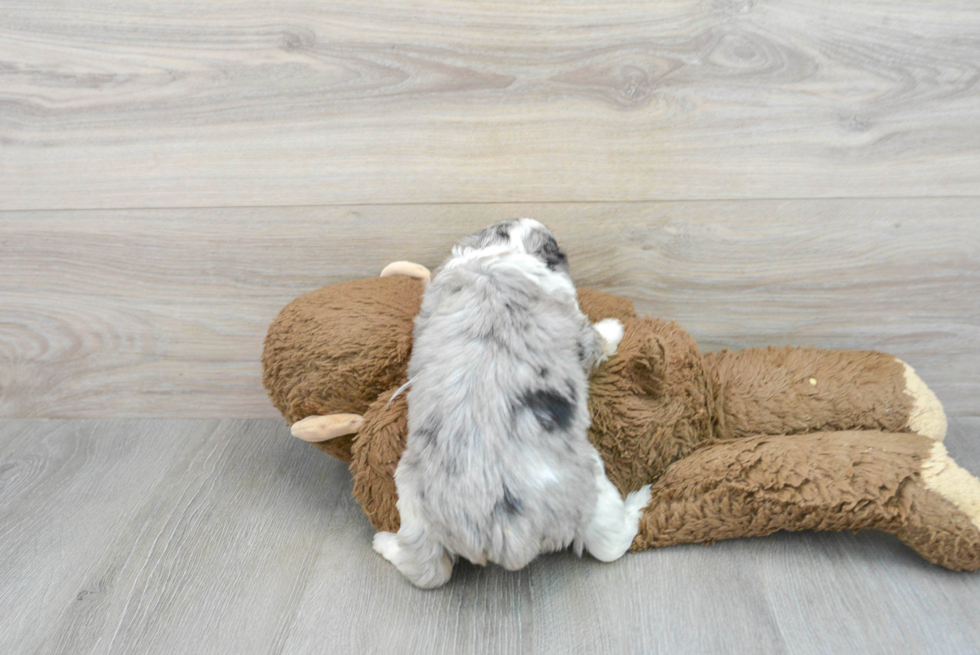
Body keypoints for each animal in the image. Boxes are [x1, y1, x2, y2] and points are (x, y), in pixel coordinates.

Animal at [374, 219, 652, 588]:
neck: (501, 254)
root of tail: (504, 531)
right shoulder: (577, 322)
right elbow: (599, 339)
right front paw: (614, 328)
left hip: (410, 497)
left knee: (425, 569)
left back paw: (383, 542)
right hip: (593, 487)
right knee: (611, 544)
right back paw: (640, 500)